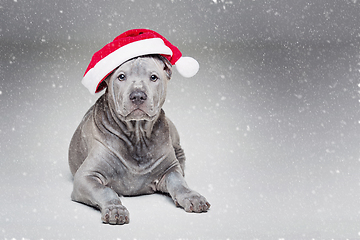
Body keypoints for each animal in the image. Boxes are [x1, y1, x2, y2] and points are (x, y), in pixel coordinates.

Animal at [69, 54, 211, 225]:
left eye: (153, 77)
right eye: (121, 76)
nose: (138, 96)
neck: (137, 135)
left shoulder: (169, 169)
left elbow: (179, 183)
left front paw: (192, 196)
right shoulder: (86, 176)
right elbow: (104, 190)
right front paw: (115, 209)